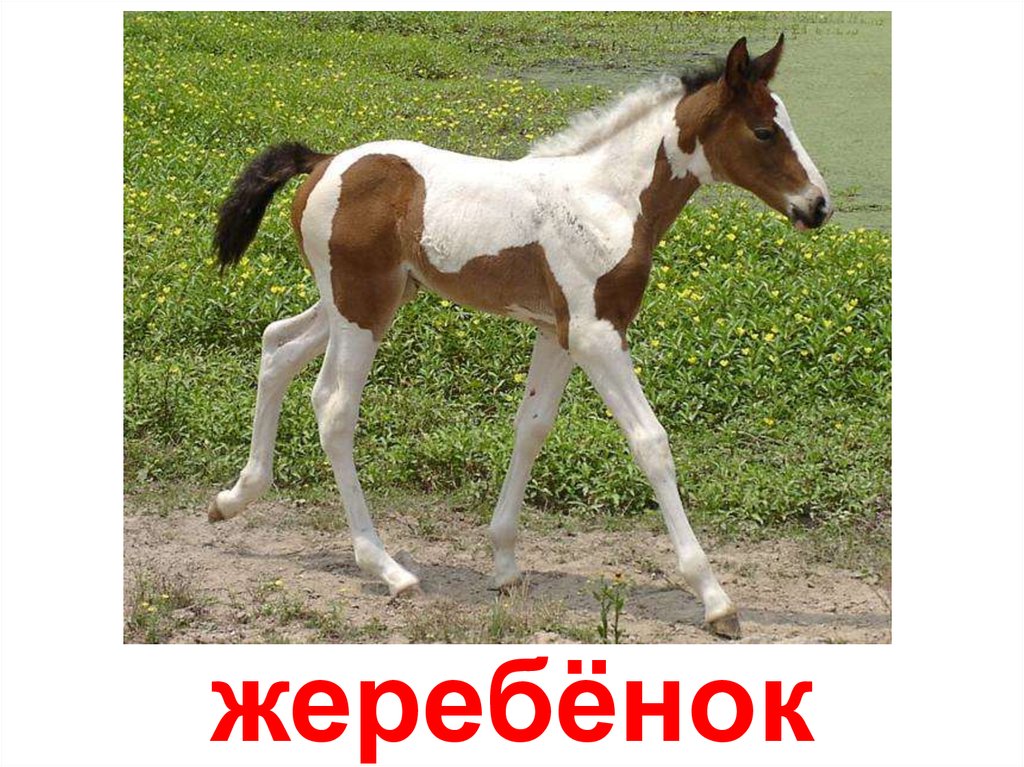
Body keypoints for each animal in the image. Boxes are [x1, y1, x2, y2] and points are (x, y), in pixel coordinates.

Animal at [208, 35, 831, 638]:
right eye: (764, 130)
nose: (819, 206)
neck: (608, 201)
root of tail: (324, 161)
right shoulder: (597, 334)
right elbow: (650, 442)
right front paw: (715, 599)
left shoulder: (558, 334)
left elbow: (532, 427)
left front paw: (505, 564)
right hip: (362, 308)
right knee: (333, 407)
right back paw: (388, 569)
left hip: (360, 300)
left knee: (277, 345)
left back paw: (234, 497)